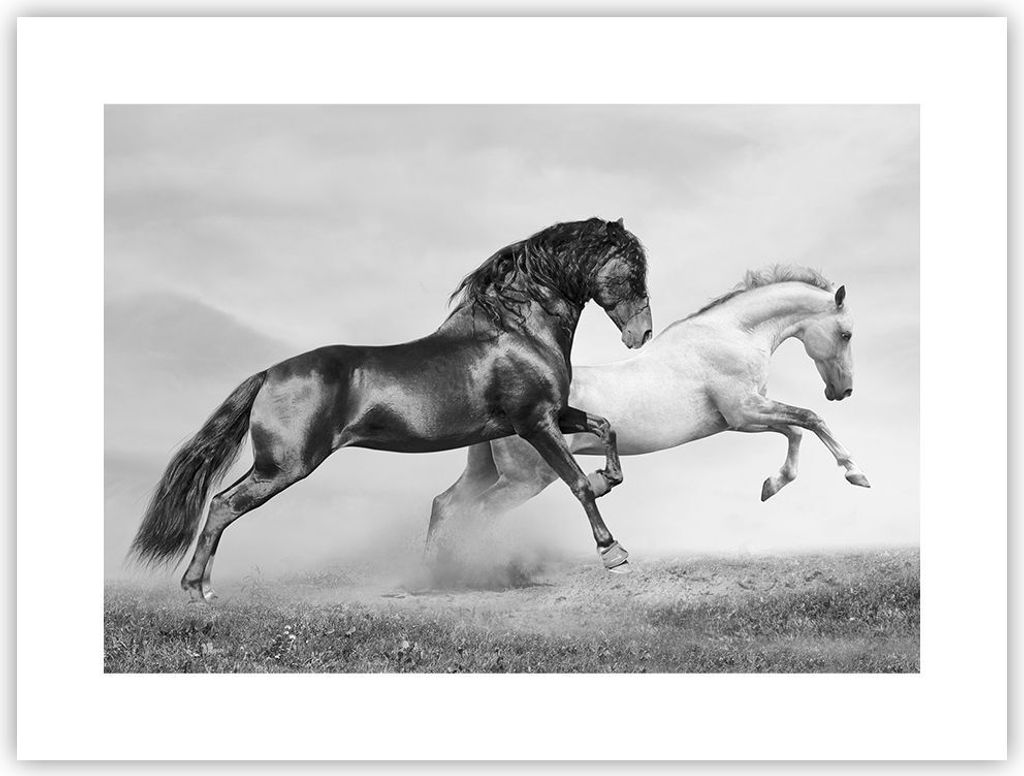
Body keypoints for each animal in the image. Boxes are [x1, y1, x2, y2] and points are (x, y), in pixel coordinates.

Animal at [130, 217, 653, 600]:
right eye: (632, 271)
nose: (642, 334)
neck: (517, 333)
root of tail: (269, 374)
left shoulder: (554, 413)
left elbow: (605, 427)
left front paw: (610, 478)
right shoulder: (534, 423)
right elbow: (578, 484)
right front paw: (614, 553)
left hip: (277, 465)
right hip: (283, 465)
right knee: (222, 504)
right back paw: (197, 589)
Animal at [426, 265, 870, 569]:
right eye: (846, 333)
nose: (843, 391)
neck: (732, 336)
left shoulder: (746, 415)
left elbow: (795, 431)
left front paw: (771, 486)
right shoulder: (744, 412)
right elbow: (809, 420)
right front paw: (856, 474)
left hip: (487, 471)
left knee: (445, 504)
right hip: (525, 479)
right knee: (478, 513)